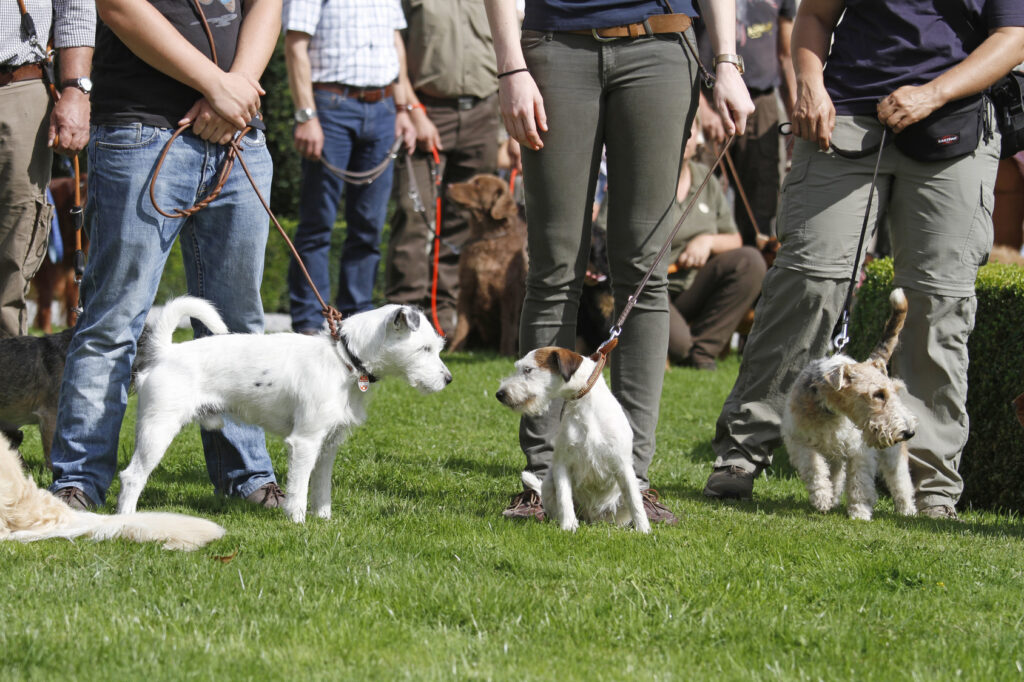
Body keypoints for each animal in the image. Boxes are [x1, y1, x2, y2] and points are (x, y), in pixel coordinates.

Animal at [448, 173, 528, 356]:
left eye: (478, 185)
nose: (448, 185)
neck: (485, 237)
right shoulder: (467, 288)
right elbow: (461, 325)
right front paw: (453, 351)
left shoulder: (509, 291)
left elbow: (508, 325)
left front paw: (505, 353)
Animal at [493, 339, 647, 532]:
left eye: (528, 370)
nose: (499, 394)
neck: (584, 405)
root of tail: (592, 518)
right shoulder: (562, 464)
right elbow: (564, 498)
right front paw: (568, 526)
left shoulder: (623, 465)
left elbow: (634, 501)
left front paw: (643, 529)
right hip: (548, 484)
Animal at [782, 288, 921, 520]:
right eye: (878, 394)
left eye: (890, 392)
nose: (908, 432)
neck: (830, 411)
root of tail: (873, 360)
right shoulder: (798, 440)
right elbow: (815, 467)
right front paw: (822, 499)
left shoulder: (859, 451)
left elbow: (859, 484)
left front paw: (860, 513)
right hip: (834, 453)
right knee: (835, 474)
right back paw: (832, 498)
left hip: (891, 454)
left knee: (901, 482)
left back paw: (907, 510)